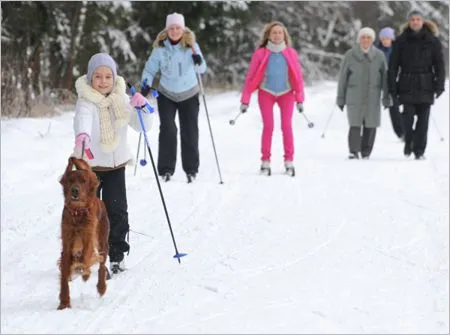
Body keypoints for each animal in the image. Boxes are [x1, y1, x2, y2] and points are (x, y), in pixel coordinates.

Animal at [57, 158, 110, 310]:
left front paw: (84, 272)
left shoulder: (88, 238)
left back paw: (101, 286)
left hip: (102, 240)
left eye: (83, 181)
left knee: (102, 264)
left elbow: (87, 258)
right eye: (70, 180)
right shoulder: (67, 242)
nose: (75, 190)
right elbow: (64, 274)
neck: (77, 212)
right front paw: (64, 302)